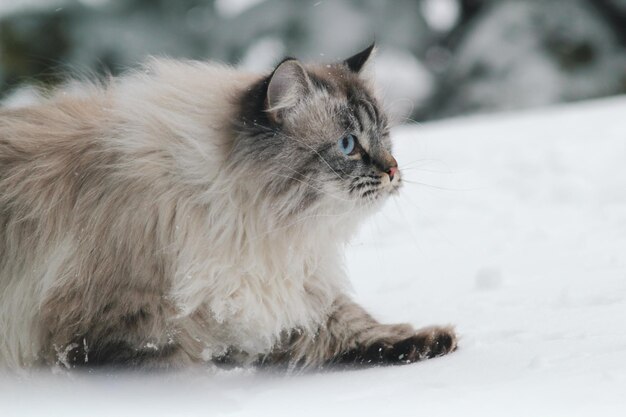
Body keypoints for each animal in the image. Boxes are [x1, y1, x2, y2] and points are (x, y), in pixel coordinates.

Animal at [1, 44, 458, 370]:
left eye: (386, 139)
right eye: (348, 145)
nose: (393, 170)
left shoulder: (278, 292)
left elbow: (354, 324)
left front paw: (428, 341)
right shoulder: (128, 324)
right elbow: (173, 370)